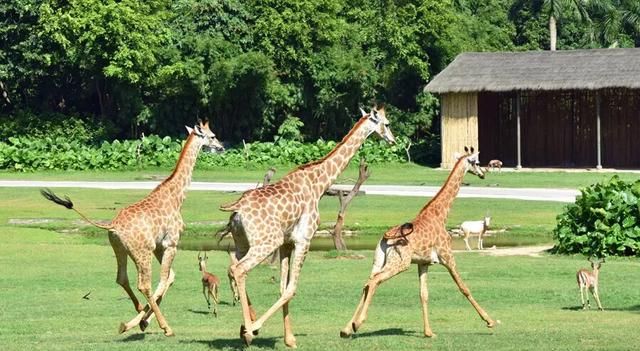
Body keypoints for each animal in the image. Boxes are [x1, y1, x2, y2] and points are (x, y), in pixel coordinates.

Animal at [40, 121, 222, 338]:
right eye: (212, 136)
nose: (221, 147)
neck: (177, 197)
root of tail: (113, 225)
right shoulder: (171, 243)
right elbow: (165, 279)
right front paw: (147, 322)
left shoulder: (160, 246)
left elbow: (170, 277)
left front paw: (143, 320)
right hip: (142, 252)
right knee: (144, 284)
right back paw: (162, 326)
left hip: (121, 249)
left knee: (122, 278)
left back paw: (135, 315)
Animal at [222, 106, 398, 348]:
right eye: (387, 123)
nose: (393, 140)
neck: (319, 184)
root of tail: (236, 210)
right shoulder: (303, 239)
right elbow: (291, 289)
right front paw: (258, 329)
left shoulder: (287, 244)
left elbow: (282, 288)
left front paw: (289, 339)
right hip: (266, 243)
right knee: (239, 270)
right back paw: (250, 329)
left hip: (244, 243)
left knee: (233, 268)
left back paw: (245, 326)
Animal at [340, 147, 496, 340]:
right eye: (476, 162)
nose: (482, 174)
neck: (441, 215)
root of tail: (385, 238)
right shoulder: (447, 256)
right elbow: (463, 287)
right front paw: (490, 321)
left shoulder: (423, 263)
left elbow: (423, 294)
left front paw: (428, 332)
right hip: (400, 262)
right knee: (374, 281)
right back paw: (358, 323)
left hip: (378, 261)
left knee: (366, 283)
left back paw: (346, 328)